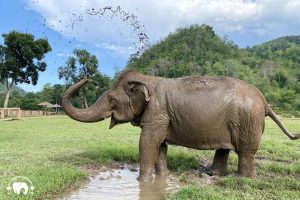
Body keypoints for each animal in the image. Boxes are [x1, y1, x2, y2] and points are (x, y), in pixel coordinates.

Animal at [62, 70, 298, 181]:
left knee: (246, 151)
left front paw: (142, 180)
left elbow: (148, 142)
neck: (147, 79)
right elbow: (160, 146)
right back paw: (212, 174)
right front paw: (162, 178)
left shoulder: (157, 113)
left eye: (111, 99)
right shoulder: (162, 117)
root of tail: (264, 101)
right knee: (224, 148)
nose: (88, 78)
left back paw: (240, 179)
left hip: (248, 120)